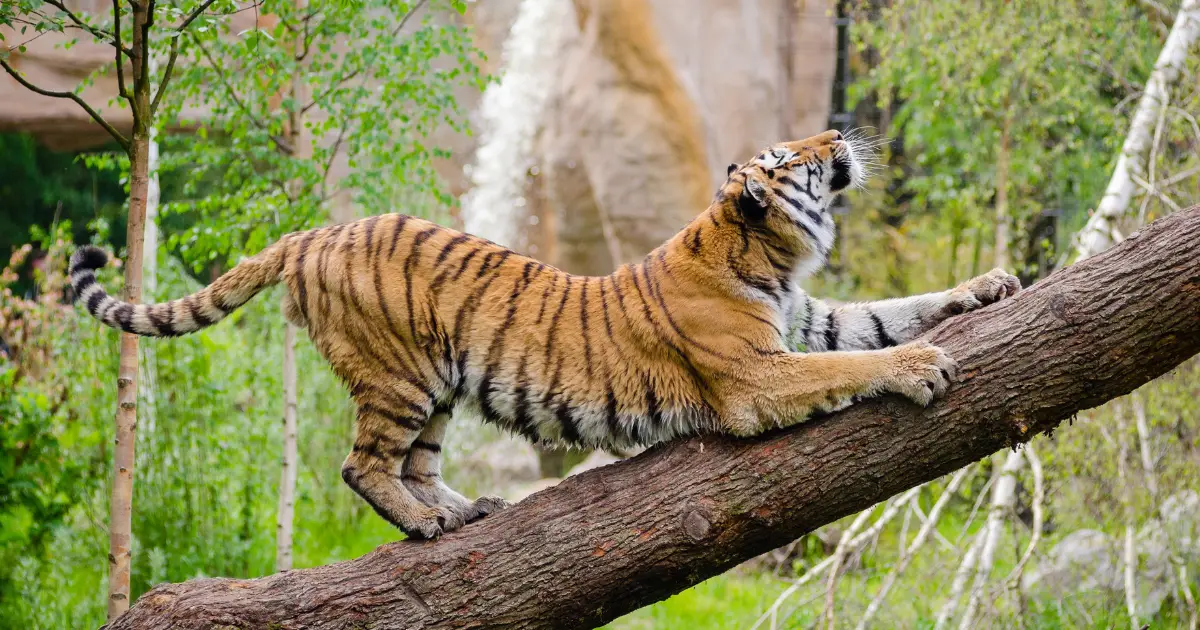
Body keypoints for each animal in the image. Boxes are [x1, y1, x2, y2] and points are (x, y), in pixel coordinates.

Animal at [68, 130, 1022, 537]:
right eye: (794, 157)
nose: (839, 134)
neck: (771, 254)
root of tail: (312, 233)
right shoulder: (756, 376)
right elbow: (869, 355)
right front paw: (924, 366)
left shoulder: (810, 321)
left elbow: (889, 311)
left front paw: (989, 284)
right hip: (401, 376)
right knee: (362, 464)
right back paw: (425, 527)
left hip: (440, 388)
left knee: (417, 464)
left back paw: (462, 510)